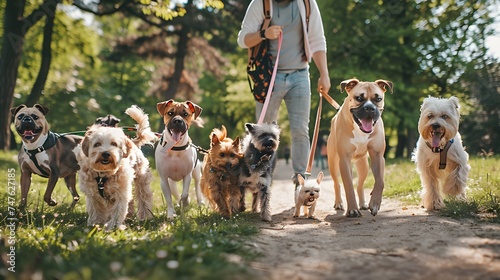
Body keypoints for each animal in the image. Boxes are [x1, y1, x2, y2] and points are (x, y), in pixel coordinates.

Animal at [328, 79, 394, 217]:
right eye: (358, 98)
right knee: (336, 183)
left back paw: (363, 204)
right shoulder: (344, 160)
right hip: (333, 163)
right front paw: (352, 209)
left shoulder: (378, 156)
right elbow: (348, 185)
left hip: (363, 166)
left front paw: (374, 203)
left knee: (359, 185)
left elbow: (380, 181)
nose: (369, 108)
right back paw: (338, 203)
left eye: (378, 98)